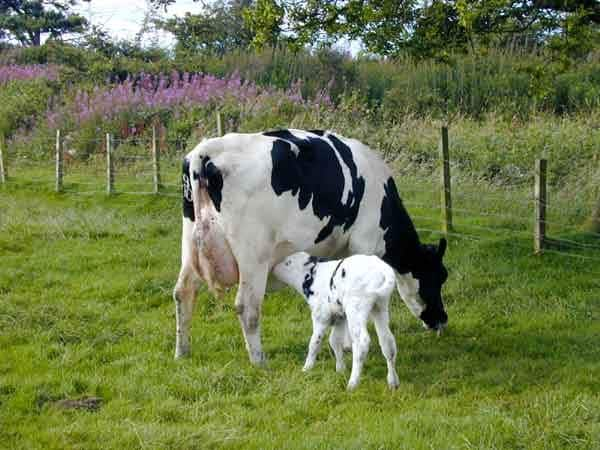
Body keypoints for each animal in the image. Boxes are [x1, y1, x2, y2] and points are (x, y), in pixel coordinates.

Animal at [172, 127, 446, 366]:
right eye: (438, 277)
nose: (442, 320)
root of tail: (206, 151)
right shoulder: (364, 242)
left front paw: (345, 344)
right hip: (253, 254)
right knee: (247, 307)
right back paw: (259, 361)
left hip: (189, 243)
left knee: (183, 292)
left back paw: (182, 352)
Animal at [274, 251, 400, 392]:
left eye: (287, 262)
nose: (273, 268)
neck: (313, 278)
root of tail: (382, 268)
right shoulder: (339, 317)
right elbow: (334, 341)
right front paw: (340, 369)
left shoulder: (320, 317)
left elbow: (314, 342)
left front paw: (307, 368)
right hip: (380, 307)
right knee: (387, 342)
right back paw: (393, 382)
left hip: (356, 309)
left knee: (362, 342)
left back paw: (352, 384)